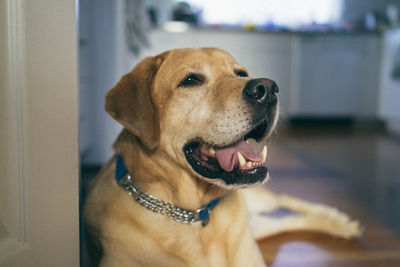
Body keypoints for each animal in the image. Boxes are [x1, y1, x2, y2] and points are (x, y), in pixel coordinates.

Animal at [83, 48, 360, 267]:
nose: (268, 89)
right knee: (283, 217)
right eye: (191, 80)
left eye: (241, 73)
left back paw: (336, 217)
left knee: (283, 199)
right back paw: (338, 222)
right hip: (256, 225)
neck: (193, 213)